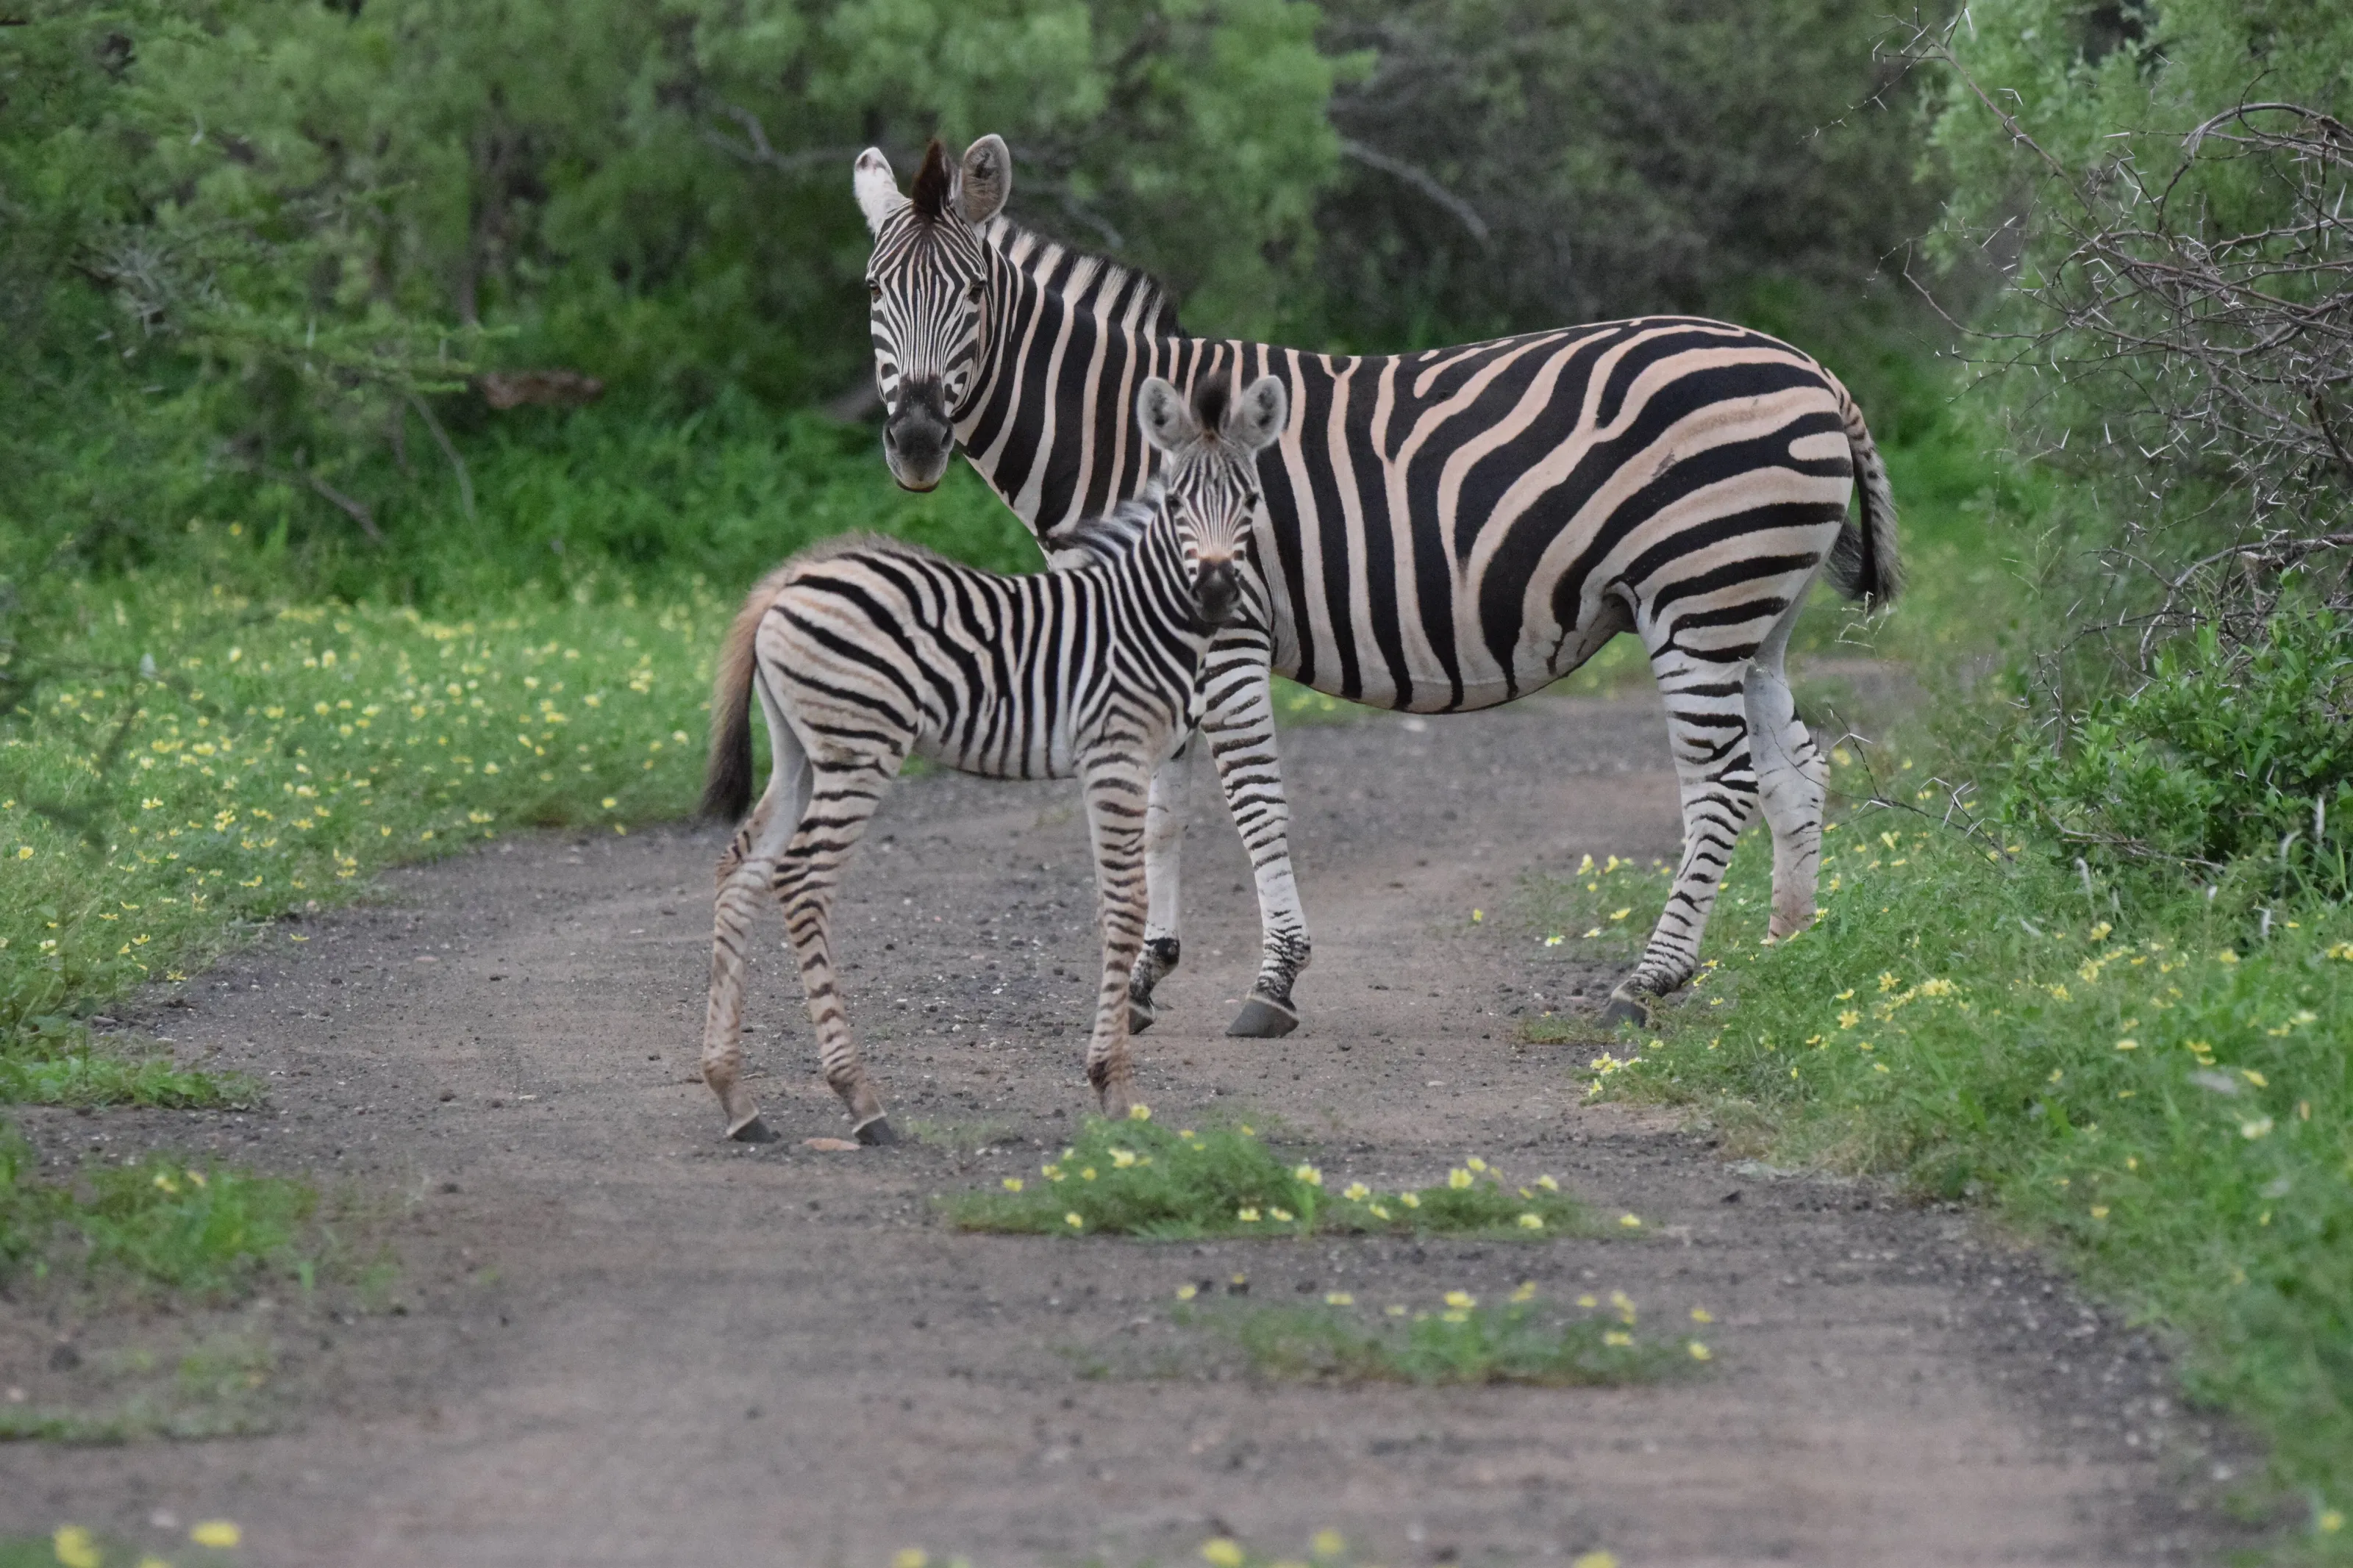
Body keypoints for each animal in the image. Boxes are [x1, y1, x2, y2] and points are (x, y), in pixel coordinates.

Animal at [696, 373, 1290, 1144]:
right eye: (1178, 504)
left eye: (1249, 503)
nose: (1216, 591)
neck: (1144, 612)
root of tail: (789, 581)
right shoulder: (1114, 752)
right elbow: (1125, 904)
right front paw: (1115, 1087)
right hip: (861, 748)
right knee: (802, 878)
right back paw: (861, 1100)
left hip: (802, 751)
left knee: (740, 869)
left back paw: (736, 1098)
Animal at [851, 136, 1900, 1033]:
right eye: (871, 290)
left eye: (973, 292)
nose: (914, 443)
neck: (1128, 435)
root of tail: (1810, 369)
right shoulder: (1151, 636)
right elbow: (1161, 808)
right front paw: (1145, 976)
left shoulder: (1227, 626)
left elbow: (1252, 800)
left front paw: (1273, 981)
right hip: (1754, 613)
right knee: (1793, 769)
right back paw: (1782, 959)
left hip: (1697, 601)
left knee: (1720, 783)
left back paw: (1646, 982)